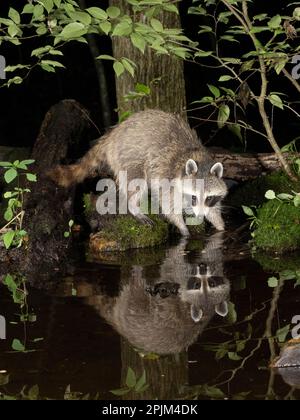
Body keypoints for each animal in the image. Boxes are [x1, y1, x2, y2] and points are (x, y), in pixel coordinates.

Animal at [48, 109, 227, 236]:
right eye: (194, 197)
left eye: (209, 198)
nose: (200, 215)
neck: (198, 159)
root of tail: (112, 135)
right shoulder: (167, 177)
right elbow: (168, 204)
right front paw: (182, 227)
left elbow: (214, 209)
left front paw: (219, 224)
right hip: (129, 156)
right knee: (136, 182)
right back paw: (134, 207)